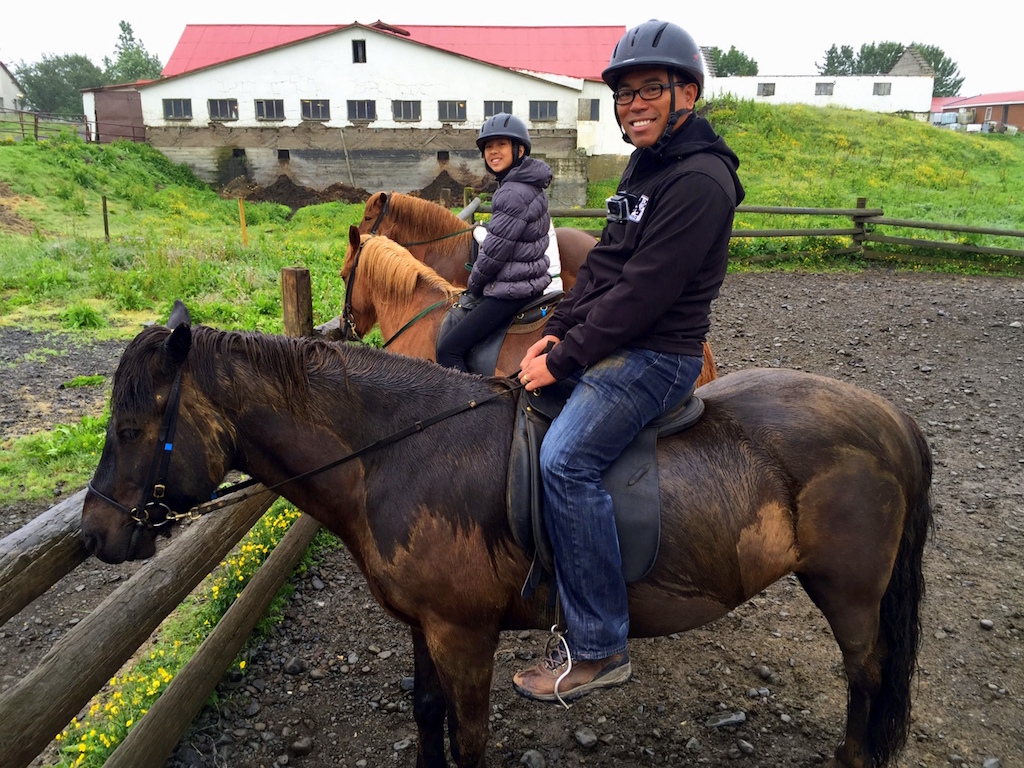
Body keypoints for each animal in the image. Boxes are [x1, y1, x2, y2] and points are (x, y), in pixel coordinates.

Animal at [83, 301, 933, 768]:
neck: (399, 451)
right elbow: (427, 713)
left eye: (130, 429)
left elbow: (470, 737)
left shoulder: (465, 633)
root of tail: (887, 416)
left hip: (850, 590)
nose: (95, 533)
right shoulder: (425, 625)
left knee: (867, 673)